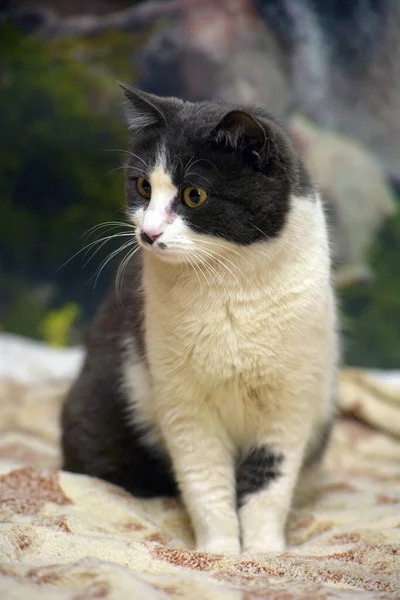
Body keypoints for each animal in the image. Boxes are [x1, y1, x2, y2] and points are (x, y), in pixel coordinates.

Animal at [61, 84, 340, 552]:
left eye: (194, 195)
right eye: (143, 186)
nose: (148, 233)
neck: (229, 288)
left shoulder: (289, 402)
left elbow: (269, 484)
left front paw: (265, 553)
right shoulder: (184, 404)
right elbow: (205, 482)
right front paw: (220, 552)